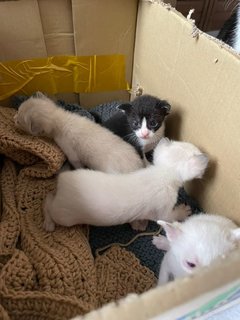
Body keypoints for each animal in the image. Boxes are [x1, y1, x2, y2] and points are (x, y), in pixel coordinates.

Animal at [14, 91, 144, 174]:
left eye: (19, 121)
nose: (13, 118)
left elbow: (75, 161)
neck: (59, 118)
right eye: (18, 109)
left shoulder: (69, 149)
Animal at [43, 139, 208, 231]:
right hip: (63, 216)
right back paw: (48, 222)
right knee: (47, 201)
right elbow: (167, 217)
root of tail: (63, 182)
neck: (161, 172)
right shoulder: (164, 207)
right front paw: (183, 211)